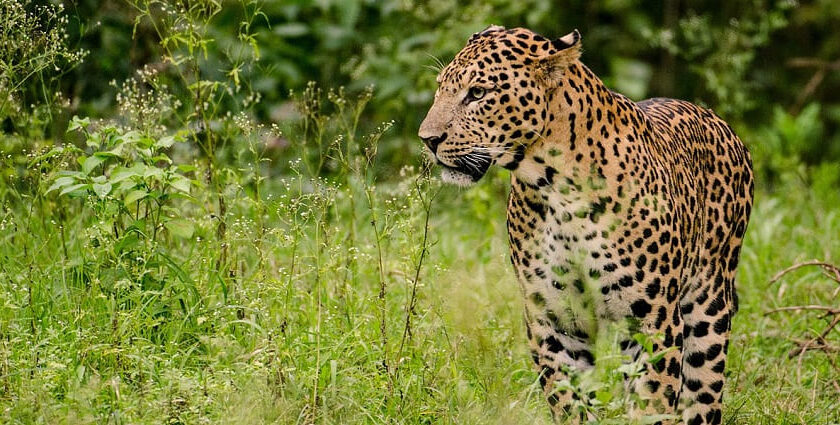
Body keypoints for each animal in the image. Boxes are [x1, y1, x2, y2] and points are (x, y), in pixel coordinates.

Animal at [420, 24, 756, 422]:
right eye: (441, 87)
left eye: (477, 93)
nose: (427, 139)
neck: (555, 189)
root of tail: (716, 119)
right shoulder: (554, 320)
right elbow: (569, 401)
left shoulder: (653, 321)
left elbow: (652, 403)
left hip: (708, 308)